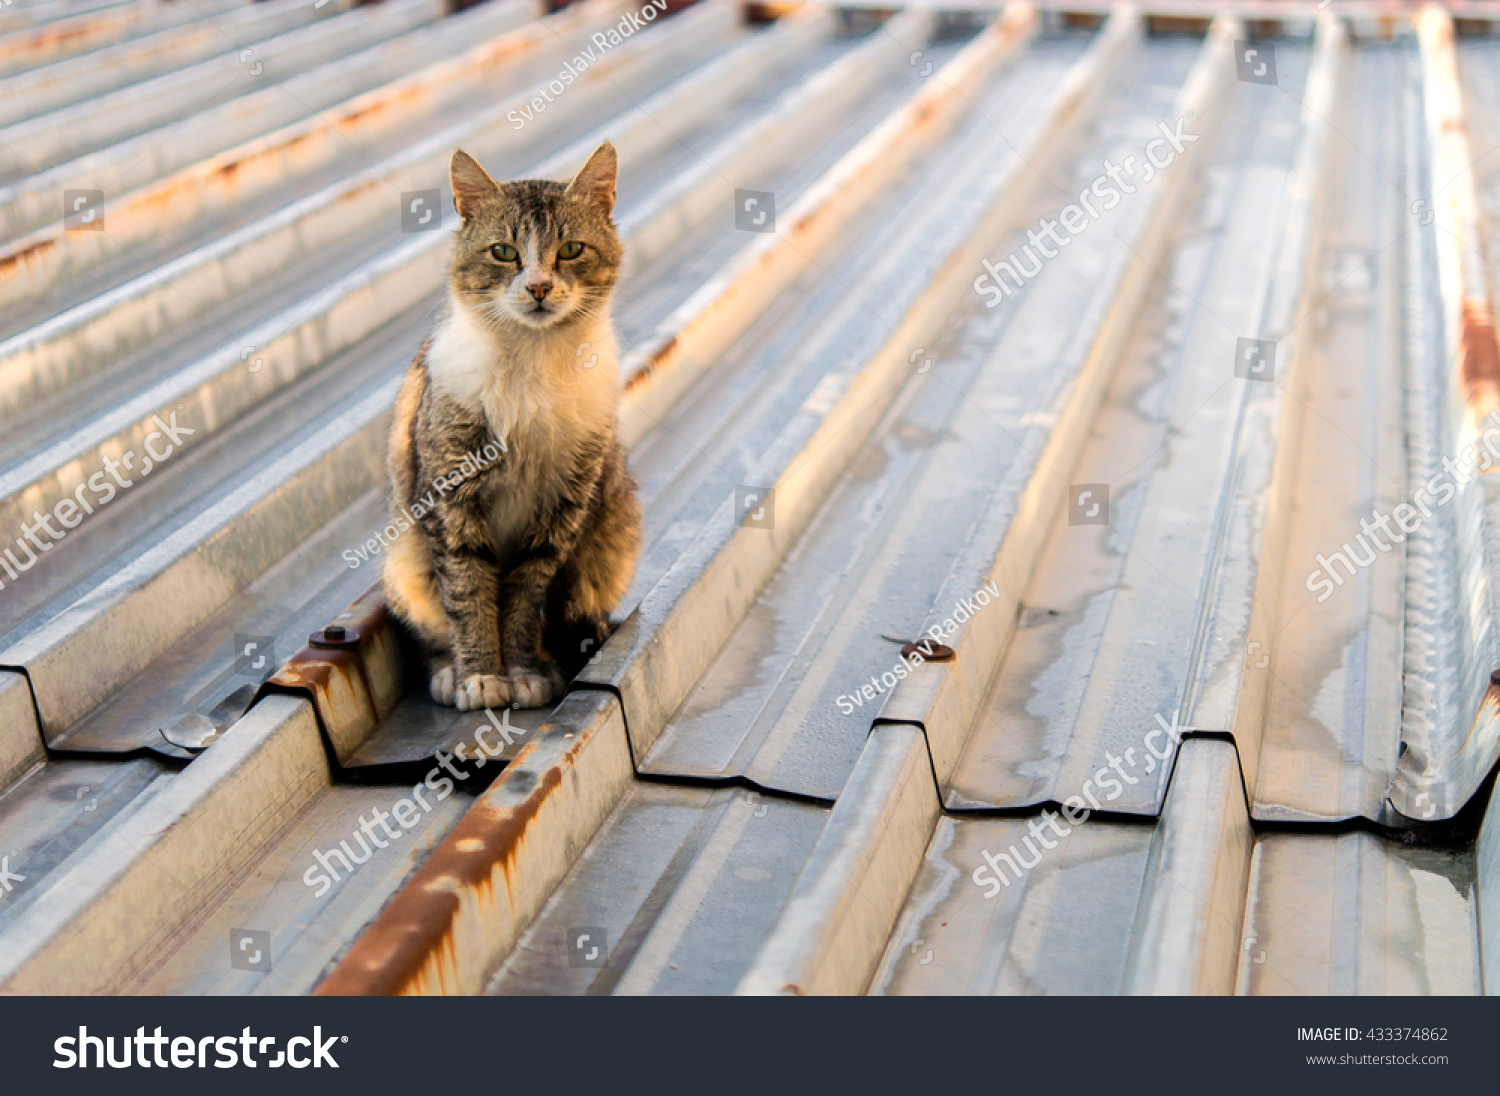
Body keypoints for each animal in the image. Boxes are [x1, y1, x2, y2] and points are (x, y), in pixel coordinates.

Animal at [381, 143, 639, 710]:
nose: (539, 286)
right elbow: (467, 591)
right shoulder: (450, 500)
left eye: (571, 250)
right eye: (502, 252)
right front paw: (479, 675)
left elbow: (524, 599)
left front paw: (523, 671)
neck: (532, 362)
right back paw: (446, 671)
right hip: (403, 557)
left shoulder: (561, 508)